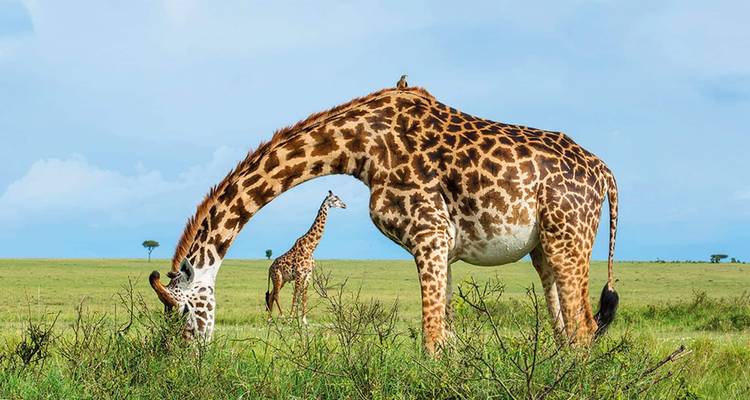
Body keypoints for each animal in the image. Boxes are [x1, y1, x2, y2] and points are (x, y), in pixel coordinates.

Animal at [265, 190, 347, 324]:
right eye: (335, 200)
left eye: (339, 198)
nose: (344, 205)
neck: (311, 247)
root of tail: (269, 268)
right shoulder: (299, 273)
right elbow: (295, 296)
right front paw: (291, 319)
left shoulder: (308, 274)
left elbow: (304, 296)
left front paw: (304, 320)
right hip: (278, 277)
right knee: (275, 295)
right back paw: (282, 316)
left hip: (283, 279)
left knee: (271, 295)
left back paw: (270, 320)